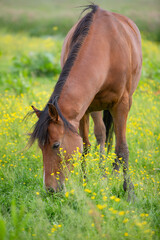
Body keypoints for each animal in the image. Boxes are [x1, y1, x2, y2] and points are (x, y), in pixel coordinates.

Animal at [29, 4, 142, 197]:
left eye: (56, 145)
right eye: (40, 147)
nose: (50, 190)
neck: (106, 50)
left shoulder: (122, 105)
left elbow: (122, 148)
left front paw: (129, 192)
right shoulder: (82, 111)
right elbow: (85, 146)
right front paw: (85, 183)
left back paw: (113, 172)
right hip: (96, 108)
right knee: (101, 134)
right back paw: (103, 174)